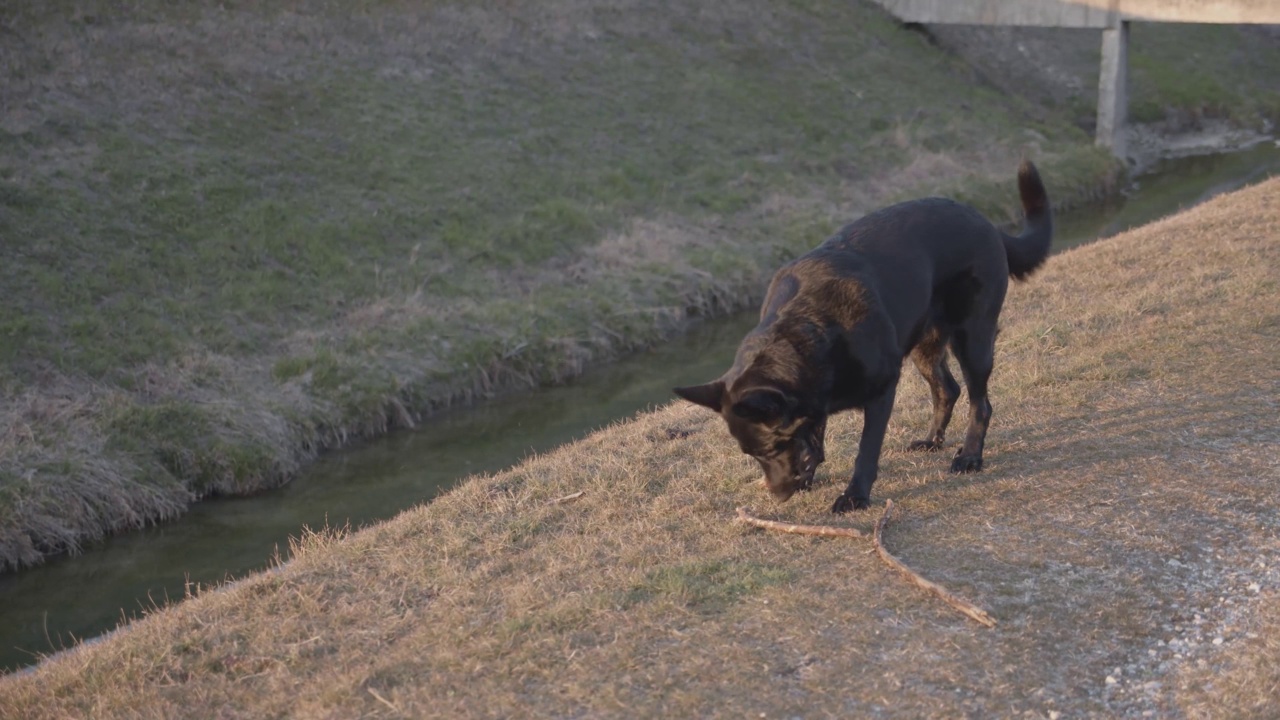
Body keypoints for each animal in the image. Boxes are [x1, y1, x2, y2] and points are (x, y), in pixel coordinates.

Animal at [670, 161, 1049, 509]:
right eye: (750, 453)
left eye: (771, 447)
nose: (778, 497)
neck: (808, 329)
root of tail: (986, 221)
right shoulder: (817, 398)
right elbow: (814, 436)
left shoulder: (881, 390)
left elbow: (866, 449)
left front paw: (854, 495)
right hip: (923, 345)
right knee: (948, 390)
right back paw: (932, 441)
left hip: (973, 338)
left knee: (979, 403)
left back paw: (970, 456)